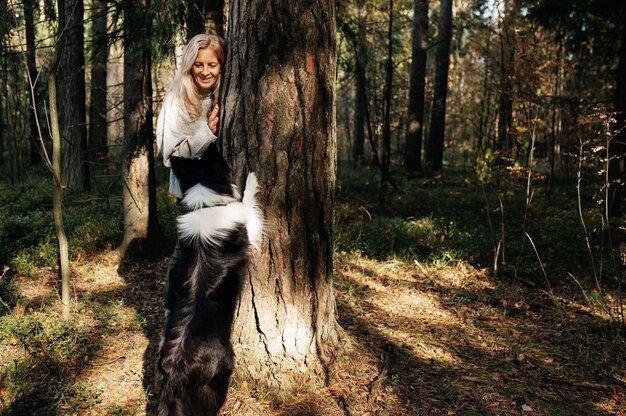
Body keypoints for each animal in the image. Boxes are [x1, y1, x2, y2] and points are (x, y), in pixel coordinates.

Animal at [158, 144, 264, 416]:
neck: (204, 201)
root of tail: (175, 374)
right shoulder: (247, 227)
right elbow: (248, 203)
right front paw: (251, 179)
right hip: (220, 374)